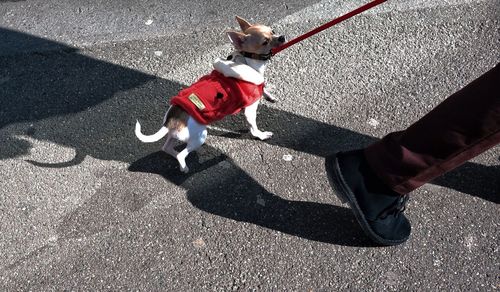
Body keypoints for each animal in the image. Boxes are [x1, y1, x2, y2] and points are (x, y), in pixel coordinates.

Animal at [135, 16, 286, 173]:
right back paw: (185, 167)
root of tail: (171, 119)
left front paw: (268, 94)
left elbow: (263, 86)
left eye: (273, 31)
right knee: (182, 154)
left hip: (176, 135)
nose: (282, 37)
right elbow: (254, 129)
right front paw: (262, 135)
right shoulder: (250, 110)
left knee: (167, 147)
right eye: (265, 42)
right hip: (199, 136)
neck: (247, 61)